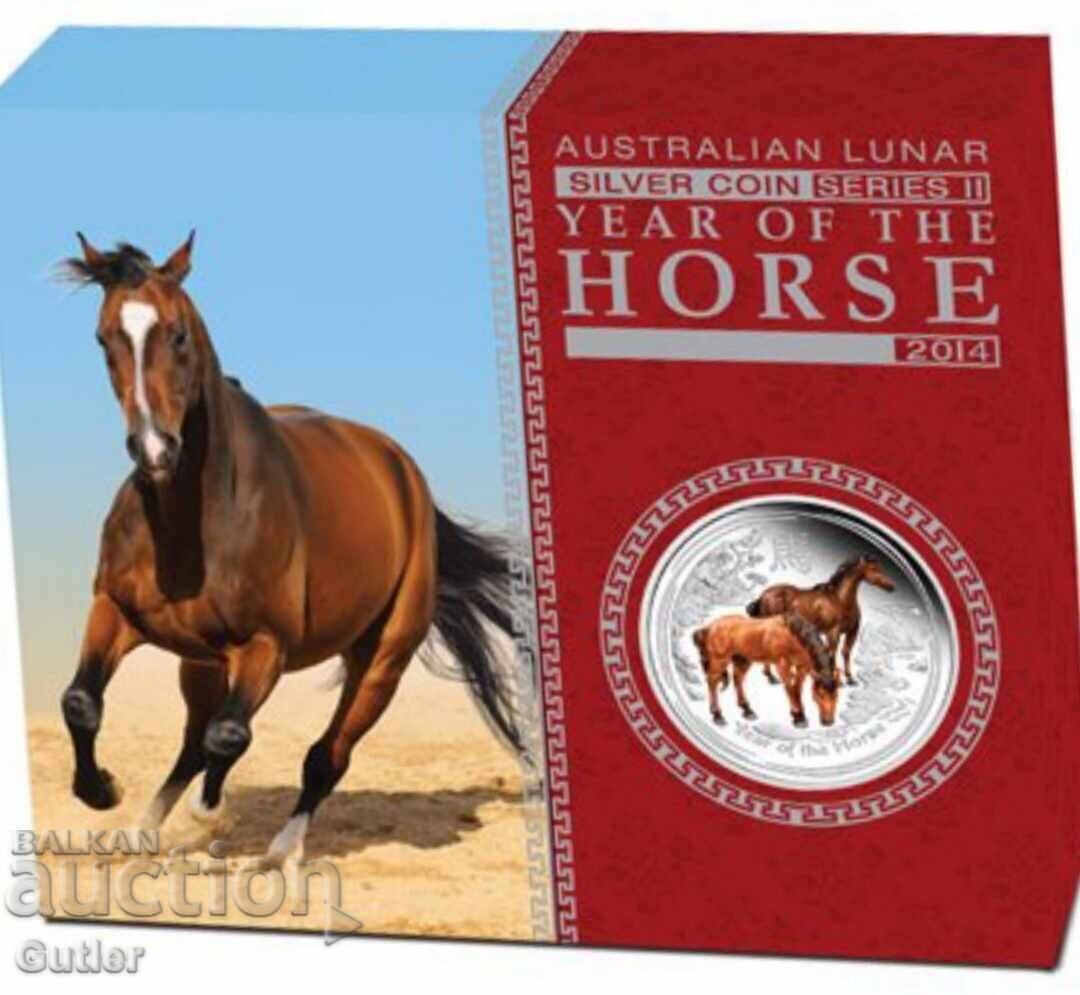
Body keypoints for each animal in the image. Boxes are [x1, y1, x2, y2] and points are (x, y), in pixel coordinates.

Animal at [58, 233, 531, 867]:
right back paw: (141, 832)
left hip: (381, 660)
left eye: (178, 334)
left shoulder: (266, 647)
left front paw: (210, 815)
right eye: (105, 337)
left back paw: (280, 850)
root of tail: (405, 475)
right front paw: (102, 791)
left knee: (325, 755)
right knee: (193, 741)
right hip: (199, 660)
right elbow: (81, 702)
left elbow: (229, 736)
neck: (194, 522)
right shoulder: (115, 610)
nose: (155, 449)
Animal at [691, 612, 838, 728]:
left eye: (836, 694)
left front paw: (800, 714)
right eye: (820, 694)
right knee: (712, 681)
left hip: (742, 660)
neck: (792, 635)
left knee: (737, 679)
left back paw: (747, 710)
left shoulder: (802, 667)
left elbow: (797, 689)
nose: (828, 722)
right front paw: (798, 717)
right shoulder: (782, 664)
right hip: (719, 660)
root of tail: (709, 627)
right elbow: (789, 688)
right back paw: (717, 715)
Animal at [746, 554, 895, 686]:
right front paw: (837, 681)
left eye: (880, 567)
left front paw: (850, 679)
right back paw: (772, 677)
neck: (840, 600)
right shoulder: (833, 633)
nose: (891, 587)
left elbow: (845, 652)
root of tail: (764, 595)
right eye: (874, 568)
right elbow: (832, 654)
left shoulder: (852, 632)